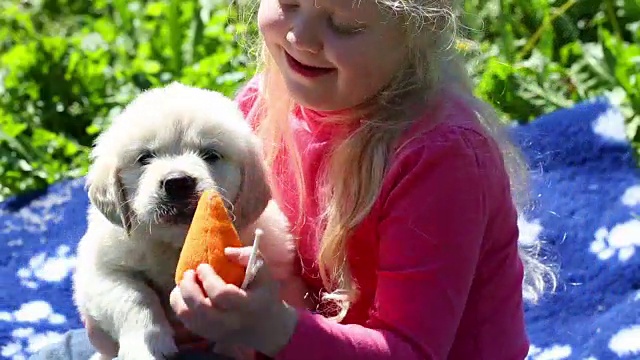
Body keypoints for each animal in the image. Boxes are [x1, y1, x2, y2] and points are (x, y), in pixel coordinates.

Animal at [73, 82, 296, 360]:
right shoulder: (101, 271)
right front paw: (147, 346)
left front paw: (233, 345)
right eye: (145, 158)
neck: (174, 244)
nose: (177, 182)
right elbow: (134, 298)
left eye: (210, 155)